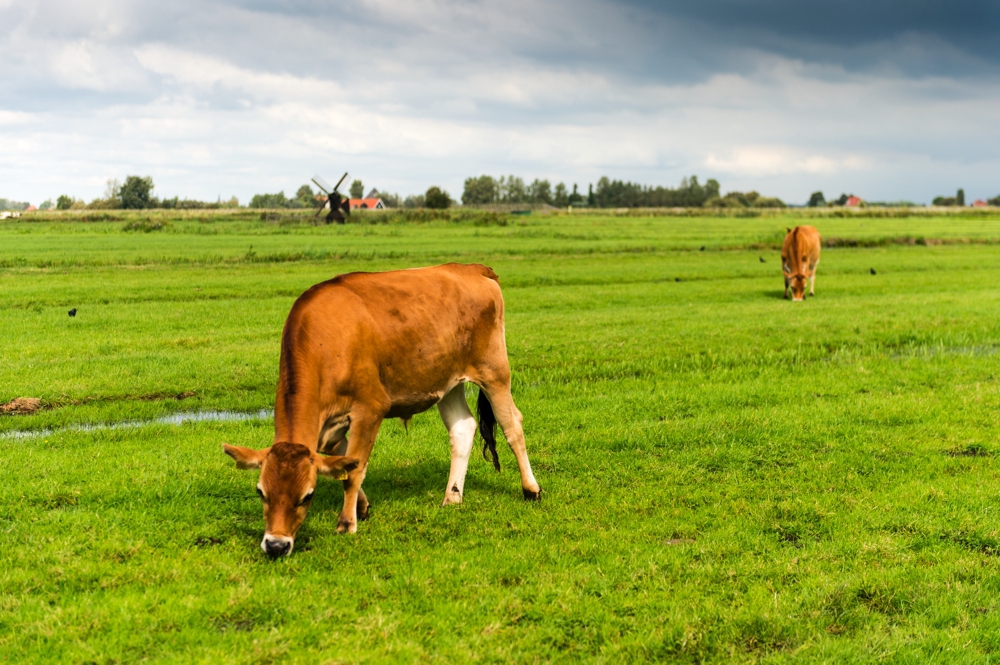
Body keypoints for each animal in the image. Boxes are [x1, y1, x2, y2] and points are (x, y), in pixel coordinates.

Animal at [224, 264, 544, 556]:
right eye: (261, 492)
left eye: (307, 496)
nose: (276, 545)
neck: (325, 341)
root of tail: (472, 268)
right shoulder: (328, 429)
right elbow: (345, 462)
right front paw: (362, 507)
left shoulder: (370, 408)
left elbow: (355, 470)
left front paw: (346, 523)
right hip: (447, 381)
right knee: (463, 428)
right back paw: (452, 497)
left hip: (494, 371)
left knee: (512, 426)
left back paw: (531, 489)